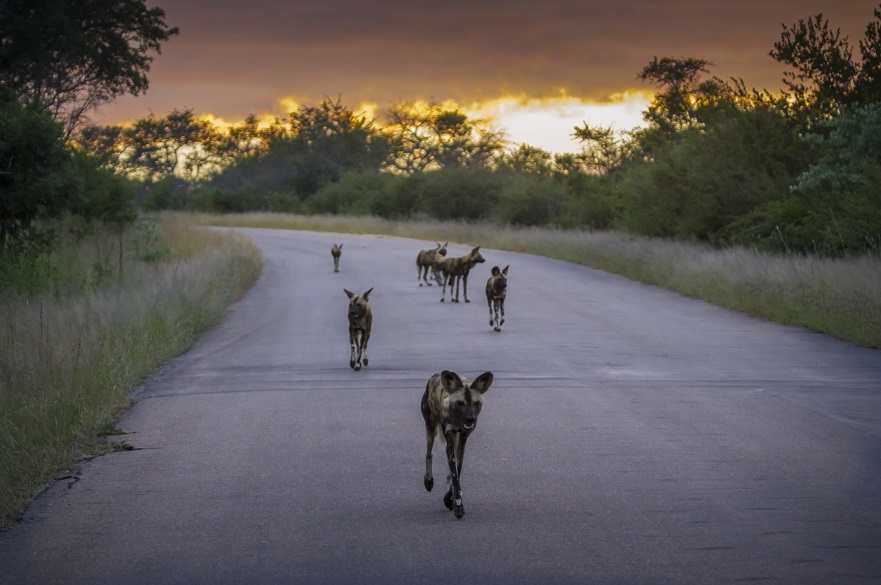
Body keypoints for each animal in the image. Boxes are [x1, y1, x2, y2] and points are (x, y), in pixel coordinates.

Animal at [422, 368, 492, 516]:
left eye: (476, 403)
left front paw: (450, 499)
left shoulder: (462, 442)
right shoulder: (449, 440)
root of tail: (436, 375)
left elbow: (457, 472)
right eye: (460, 403)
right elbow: (454, 474)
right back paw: (428, 480)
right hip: (431, 429)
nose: (471, 419)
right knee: (429, 453)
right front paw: (458, 506)